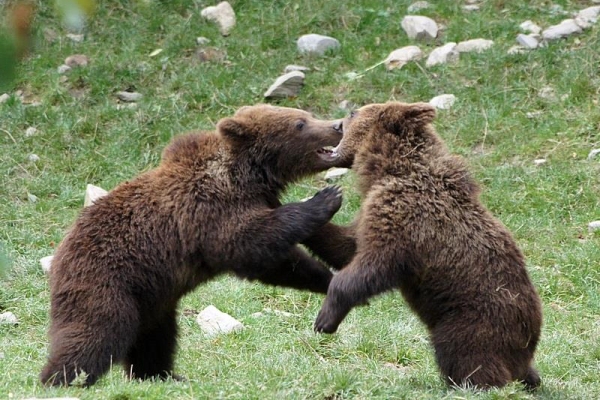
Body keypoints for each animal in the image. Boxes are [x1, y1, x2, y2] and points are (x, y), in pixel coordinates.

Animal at [41, 104, 346, 388]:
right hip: (109, 281)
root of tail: (60, 254)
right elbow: (251, 241)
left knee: (155, 340)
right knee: (97, 332)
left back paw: (161, 375)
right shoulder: (209, 211)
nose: (338, 124)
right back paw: (61, 379)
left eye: (307, 114)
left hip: (152, 301)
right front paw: (326, 198)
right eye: (300, 123)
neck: (247, 176)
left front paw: (328, 280)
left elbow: (279, 263)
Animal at [314, 101, 544, 390]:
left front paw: (325, 319)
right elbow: (346, 246)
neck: (388, 169)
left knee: (464, 353)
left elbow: (371, 266)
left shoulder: (406, 223)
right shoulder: (373, 212)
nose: (336, 124)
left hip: (473, 318)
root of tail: (531, 337)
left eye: (353, 113)